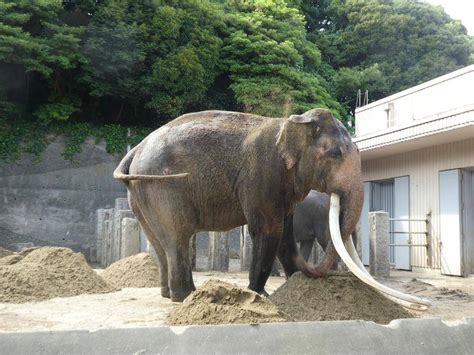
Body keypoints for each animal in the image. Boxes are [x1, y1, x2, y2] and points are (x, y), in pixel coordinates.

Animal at [114, 107, 362, 302]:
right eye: (336, 153)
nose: (308, 269)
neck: (291, 123)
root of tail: (135, 149)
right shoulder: (262, 175)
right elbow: (269, 230)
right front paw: (260, 295)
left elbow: (284, 234)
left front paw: (293, 282)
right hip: (162, 187)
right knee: (178, 236)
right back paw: (186, 296)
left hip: (140, 192)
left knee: (158, 241)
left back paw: (169, 294)